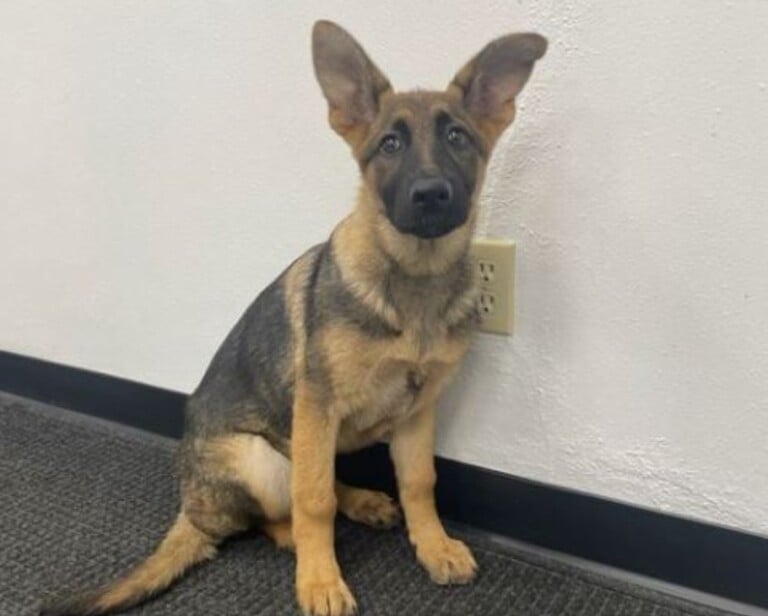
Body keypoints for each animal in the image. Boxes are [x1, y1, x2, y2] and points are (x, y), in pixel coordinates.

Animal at [42, 19, 544, 616]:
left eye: (457, 138)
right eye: (390, 144)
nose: (430, 195)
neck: (413, 278)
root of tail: (191, 505)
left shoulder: (418, 410)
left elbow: (421, 481)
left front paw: (434, 545)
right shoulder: (318, 404)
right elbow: (314, 500)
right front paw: (321, 579)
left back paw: (363, 502)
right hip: (261, 459)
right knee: (261, 518)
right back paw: (299, 543)